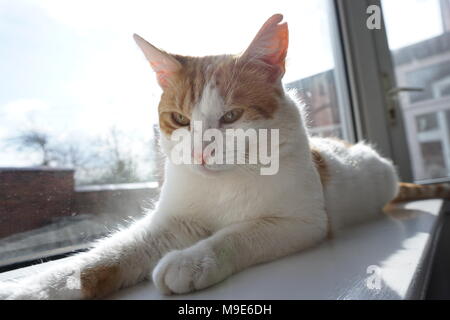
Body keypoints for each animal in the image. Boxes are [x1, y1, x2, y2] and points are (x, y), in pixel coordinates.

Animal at [0, 13, 450, 300]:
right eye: (180, 119)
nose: (201, 150)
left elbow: (239, 233)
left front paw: (192, 260)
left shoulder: (300, 223)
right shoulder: (171, 223)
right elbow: (107, 255)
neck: (225, 182)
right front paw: (41, 287)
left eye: (232, 117)